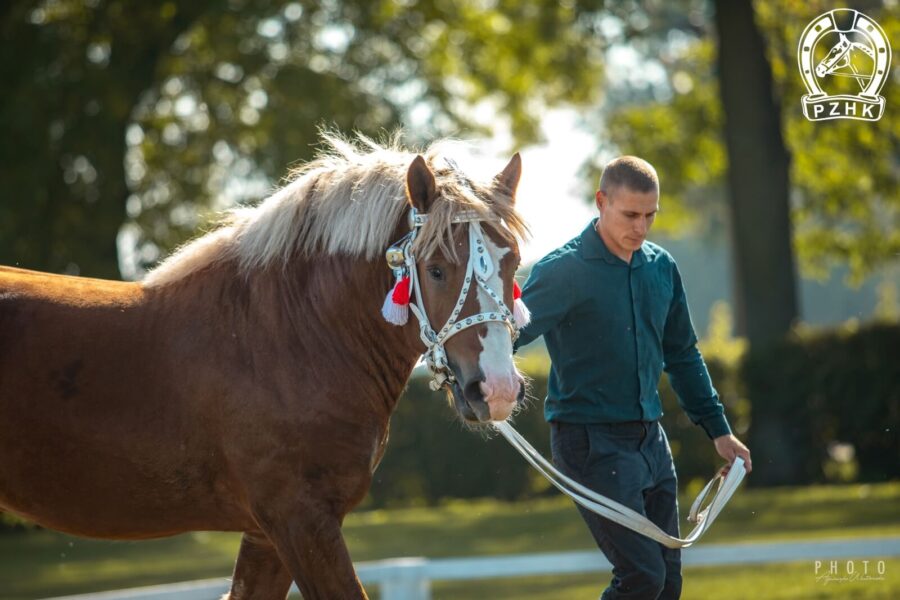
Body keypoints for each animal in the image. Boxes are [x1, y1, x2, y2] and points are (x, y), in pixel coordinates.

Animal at [0, 137, 532, 600]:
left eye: (513, 265)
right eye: (437, 269)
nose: (496, 390)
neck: (290, 337)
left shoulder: (269, 532)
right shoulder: (300, 518)